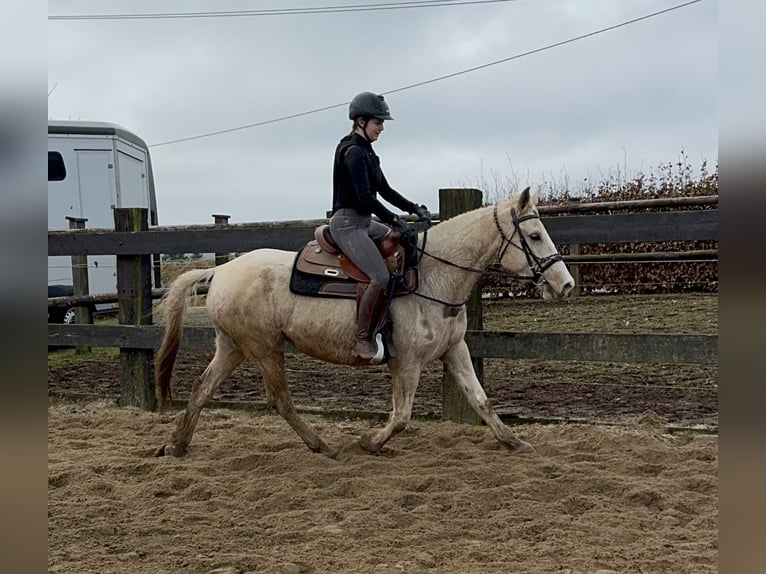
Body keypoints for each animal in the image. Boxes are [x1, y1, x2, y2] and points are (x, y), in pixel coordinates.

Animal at [158, 188, 576, 460]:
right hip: (263, 348)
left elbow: (481, 400)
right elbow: (402, 417)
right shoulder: (406, 363)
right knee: (280, 399)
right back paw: (322, 446)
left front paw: (514, 443)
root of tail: (222, 270)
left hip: (234, 346)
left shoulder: (455, 350)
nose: (565, 284)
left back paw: (177, 445)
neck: (432, 275)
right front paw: (370, 443)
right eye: (534, 235)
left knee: (201, 388)